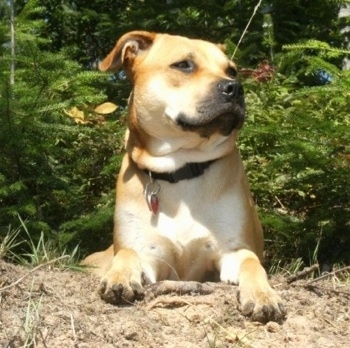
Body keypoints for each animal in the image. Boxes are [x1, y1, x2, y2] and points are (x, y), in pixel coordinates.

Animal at [83, 31, 286, 322]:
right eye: (183, 65)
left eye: (231, 70)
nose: (235, 88)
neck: (182, 170)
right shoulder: (149, 253)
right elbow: (128, 253)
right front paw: (119, 277)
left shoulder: (231, 251)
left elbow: (251, 262)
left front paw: (262, 295)